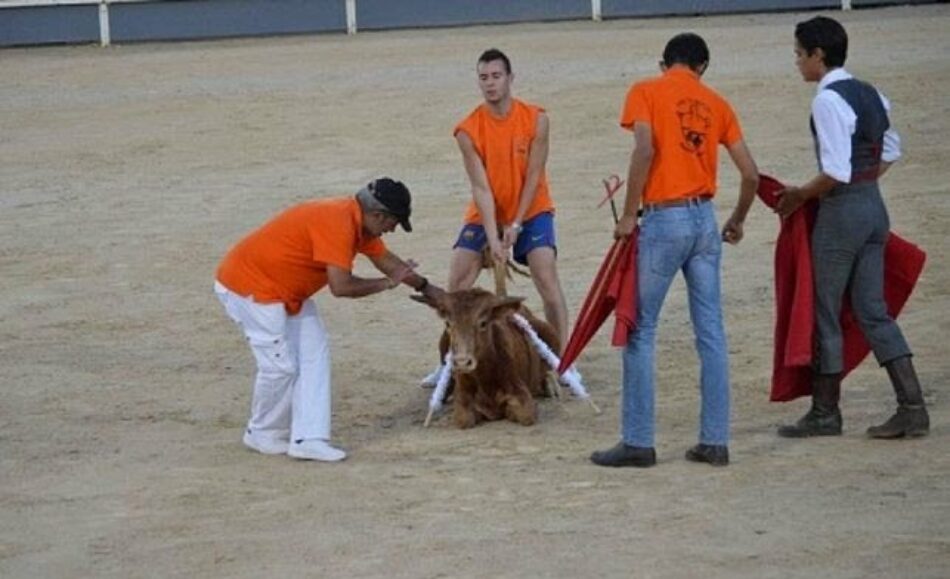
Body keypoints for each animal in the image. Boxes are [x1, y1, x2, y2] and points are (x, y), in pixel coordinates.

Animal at [412, 290, 560, 430]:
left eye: (483, 323)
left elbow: (526, 415)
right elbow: (463, 419)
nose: (462, 362)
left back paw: (549, 386)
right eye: (448, 323)